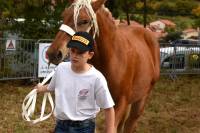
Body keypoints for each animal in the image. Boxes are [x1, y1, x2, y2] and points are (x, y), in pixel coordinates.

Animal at [46, 0, 160, 132]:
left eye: (84, 21)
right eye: (63, 16)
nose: (53, 53)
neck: (110, 59)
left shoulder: (119, 104)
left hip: (141, 99)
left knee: (130, 123)